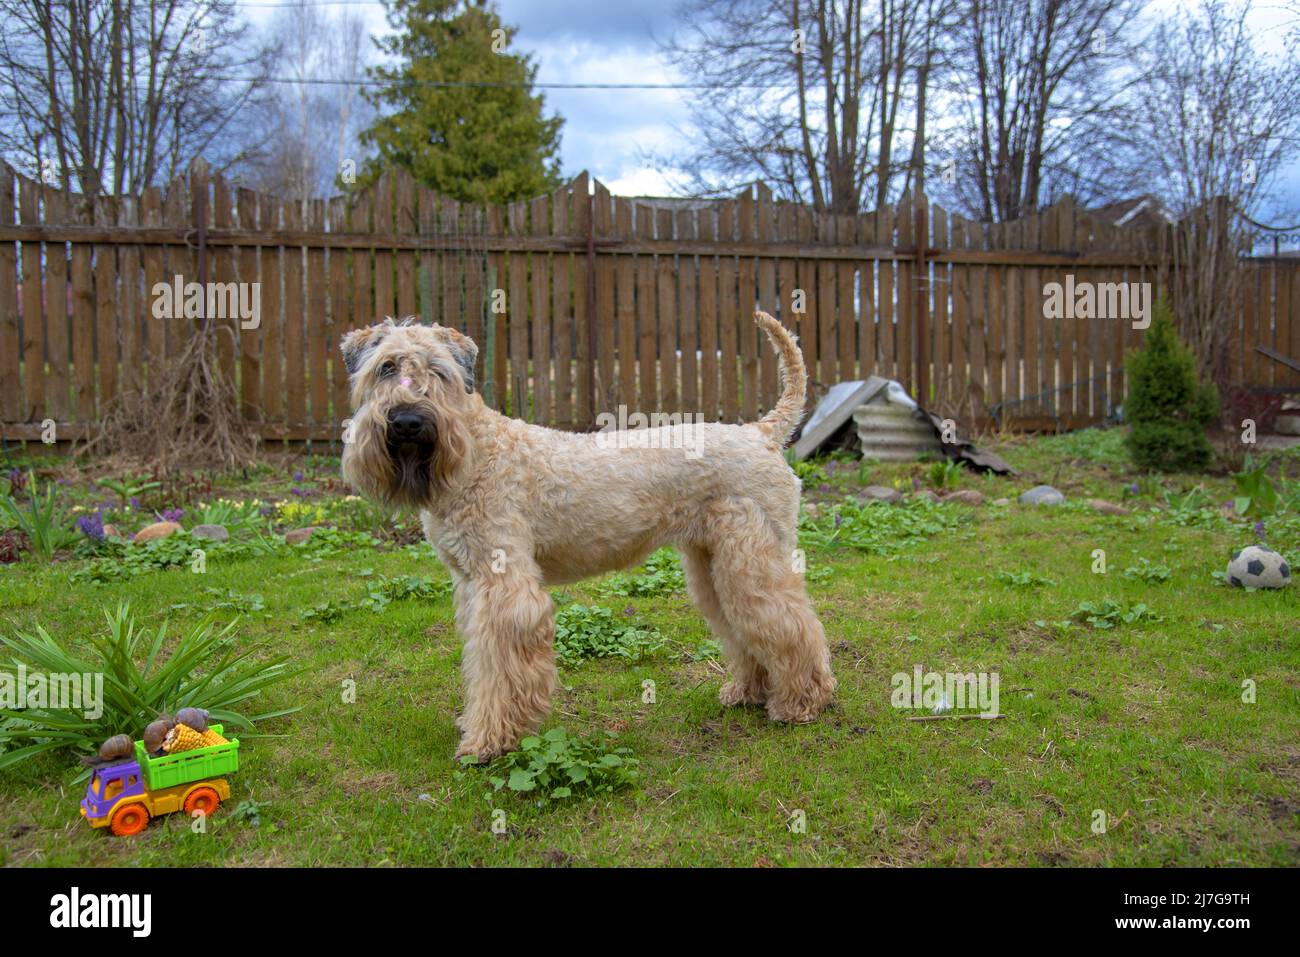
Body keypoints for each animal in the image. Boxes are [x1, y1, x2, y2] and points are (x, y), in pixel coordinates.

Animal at [340, 314, 837, 764]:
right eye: (386, 367)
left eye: (438, 370)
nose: (407, 421)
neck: (476, 453)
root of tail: (761, 433)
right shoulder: (470, 584)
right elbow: (478, 663)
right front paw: (475, 724)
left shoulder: (504, 586)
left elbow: (500, 668)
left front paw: (487, 742)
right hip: (711, 565)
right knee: (743, 627)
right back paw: (748, 691)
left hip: (750, 561)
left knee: (790, 623)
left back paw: (801, 703)